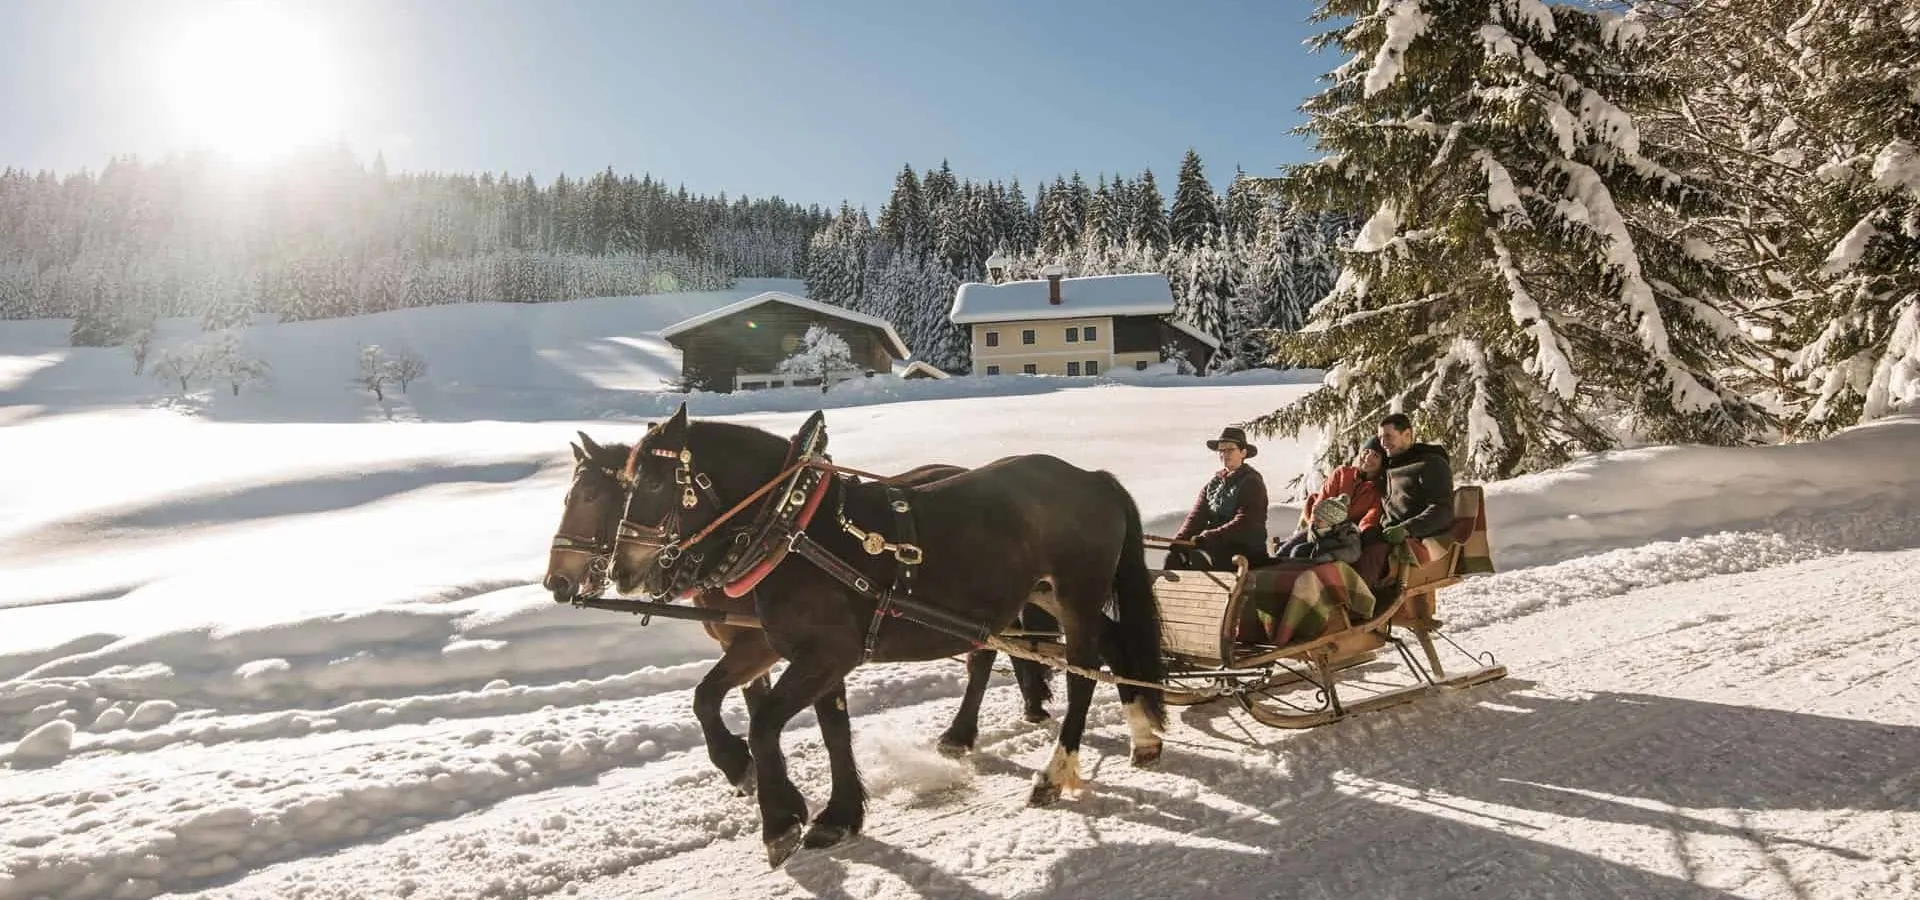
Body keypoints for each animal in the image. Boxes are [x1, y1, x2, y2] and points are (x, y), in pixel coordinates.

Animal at [549, 435, 1059, 794]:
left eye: (590, 495)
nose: (556, 581)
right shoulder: (756, 646)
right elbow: (746, 702)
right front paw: (759, 774)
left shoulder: (767, 642)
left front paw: (749, 770)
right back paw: (1030, 702)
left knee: (987, 656)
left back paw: (970, 728)